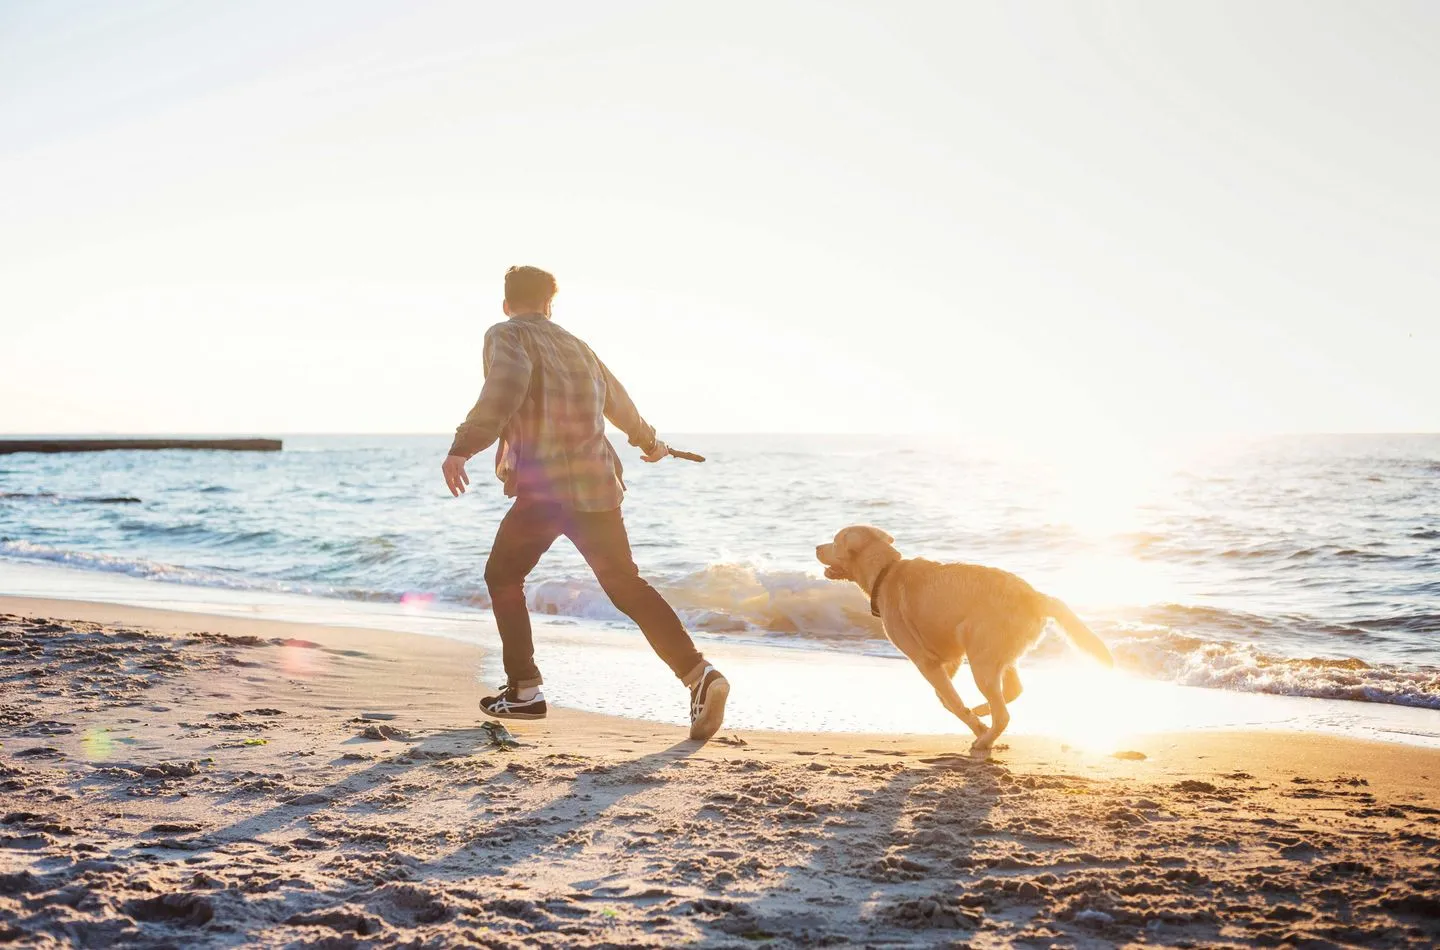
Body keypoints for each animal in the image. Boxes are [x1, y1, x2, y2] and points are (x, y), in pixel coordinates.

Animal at [823, 526, 1111, 748]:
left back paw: (985, 739)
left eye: (834, 542)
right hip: (996, 655)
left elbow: (951, 700)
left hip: (982, 659)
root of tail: (1037, 597)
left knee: (1004, 713)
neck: (886, 572)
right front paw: (976, 718)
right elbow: (946, 699)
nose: (816, 547)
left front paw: (977, 725)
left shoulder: (925, 661)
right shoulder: (948, 658)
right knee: (1013, 691)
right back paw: (985, 711)